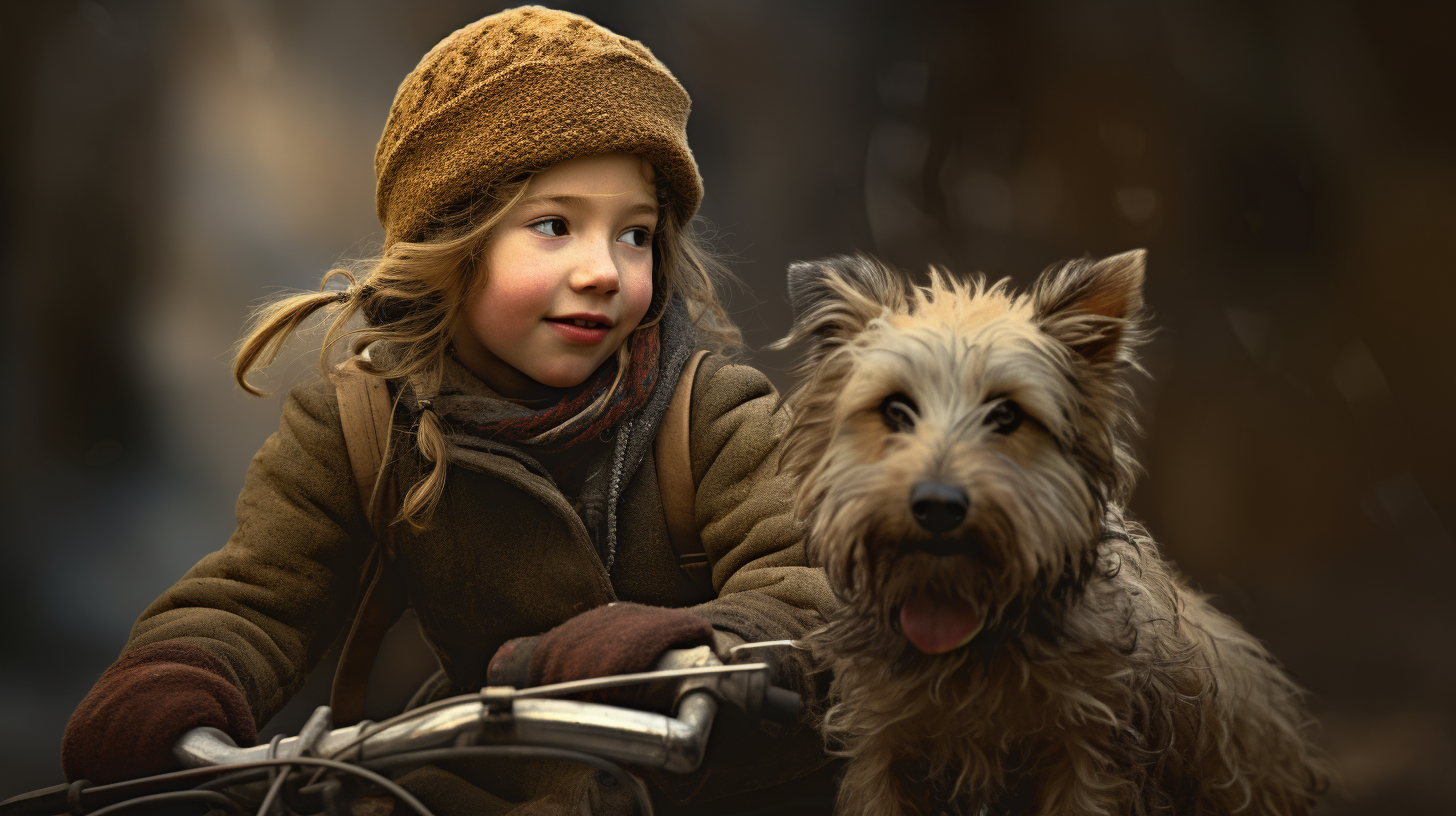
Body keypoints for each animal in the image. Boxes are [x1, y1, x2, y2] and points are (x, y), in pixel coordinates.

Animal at [780, 252, 1327, 810]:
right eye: (895, 409)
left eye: (1007, 414)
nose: (937, 505)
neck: (966, 623)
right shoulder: (881, 749)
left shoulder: (1091, 751)